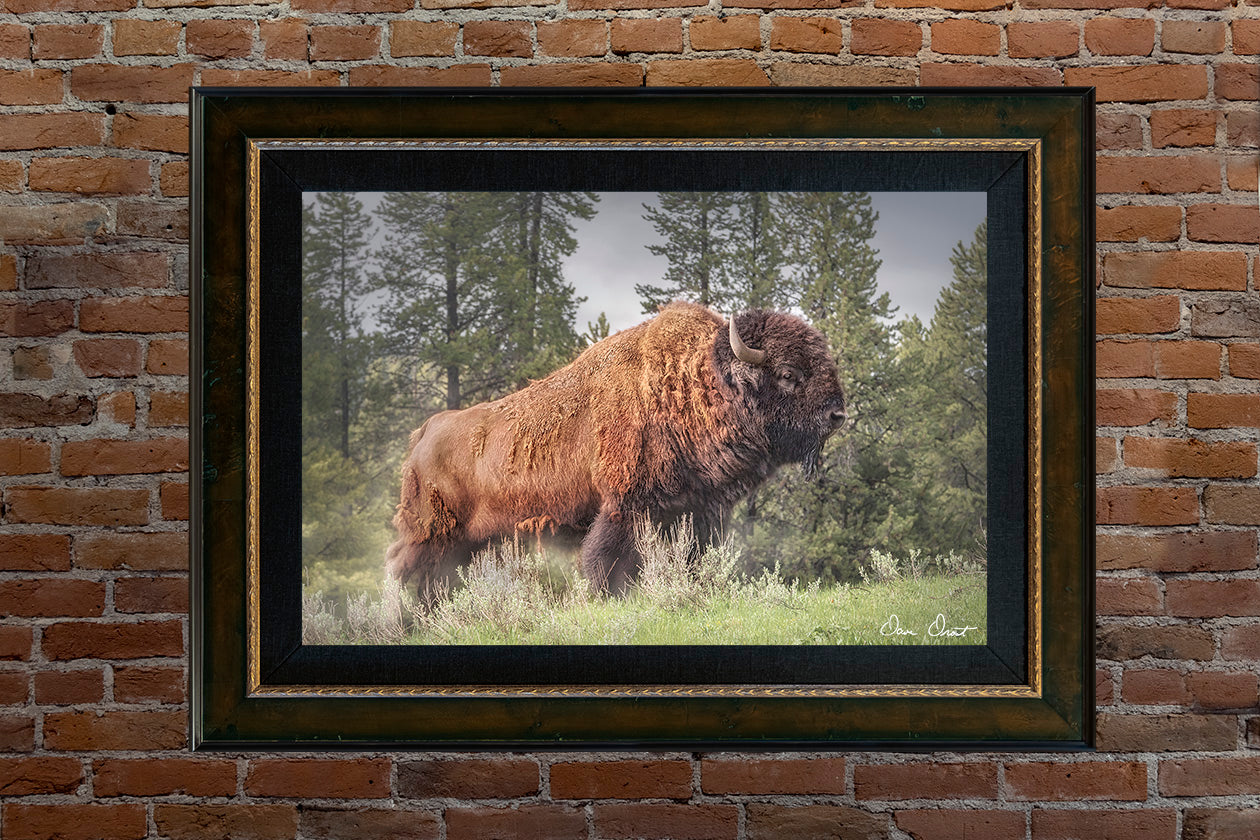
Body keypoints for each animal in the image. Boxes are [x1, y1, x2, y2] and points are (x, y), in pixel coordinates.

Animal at [386, 301, 848, 596]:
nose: (837, 415)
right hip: (432, 532)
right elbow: (608, 558)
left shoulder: (698, 510)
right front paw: (609, 596)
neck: (690, 387)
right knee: (405, 569)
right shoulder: (626, 505)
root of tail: (424, 432)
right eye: (787, 373)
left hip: (466, 540)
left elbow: (695, 555)